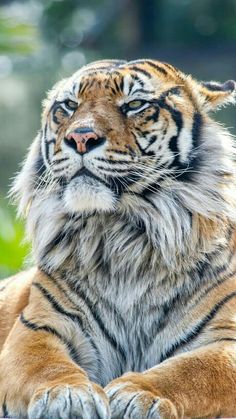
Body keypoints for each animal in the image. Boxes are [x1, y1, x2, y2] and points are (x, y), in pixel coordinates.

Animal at [0, 58, 236, 416]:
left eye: (134, 104)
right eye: (69, 106)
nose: (80, 138)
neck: (119, 237)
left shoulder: (226, 339)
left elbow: (192, 371)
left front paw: (139, 394)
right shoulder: (39, 326)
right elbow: (44, 365)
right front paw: (68, 395)